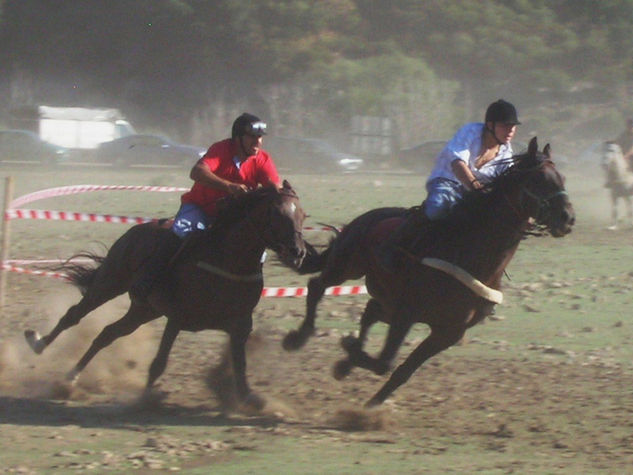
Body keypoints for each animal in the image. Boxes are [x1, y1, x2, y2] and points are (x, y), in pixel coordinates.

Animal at [25, 180, 308, 410]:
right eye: (276, 213)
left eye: (302, 215)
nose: (298, 252)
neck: (227, 262)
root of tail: (134, 231)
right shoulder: (177, 319)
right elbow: (159, 363)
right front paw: (145, 398)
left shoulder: (240, 326)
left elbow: (240, 366)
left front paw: (250, 399)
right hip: (110, 283)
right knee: (74, 315)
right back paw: (40, 344)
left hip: (144, 310)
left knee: (108, 333)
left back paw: (71, 376)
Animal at [284, 139, 576, 410]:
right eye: (539, 179)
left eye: (561, 178)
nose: (568, 218)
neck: (470, 254)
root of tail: (365, 218)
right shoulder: (407, 313)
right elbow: (386, 362)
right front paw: (347, 353)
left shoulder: (449, 332)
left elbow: (401, 370)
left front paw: (365, 397)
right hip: (346, 267)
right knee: (317, 286)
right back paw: (297, 338)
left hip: (385, 298)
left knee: (370, 311)